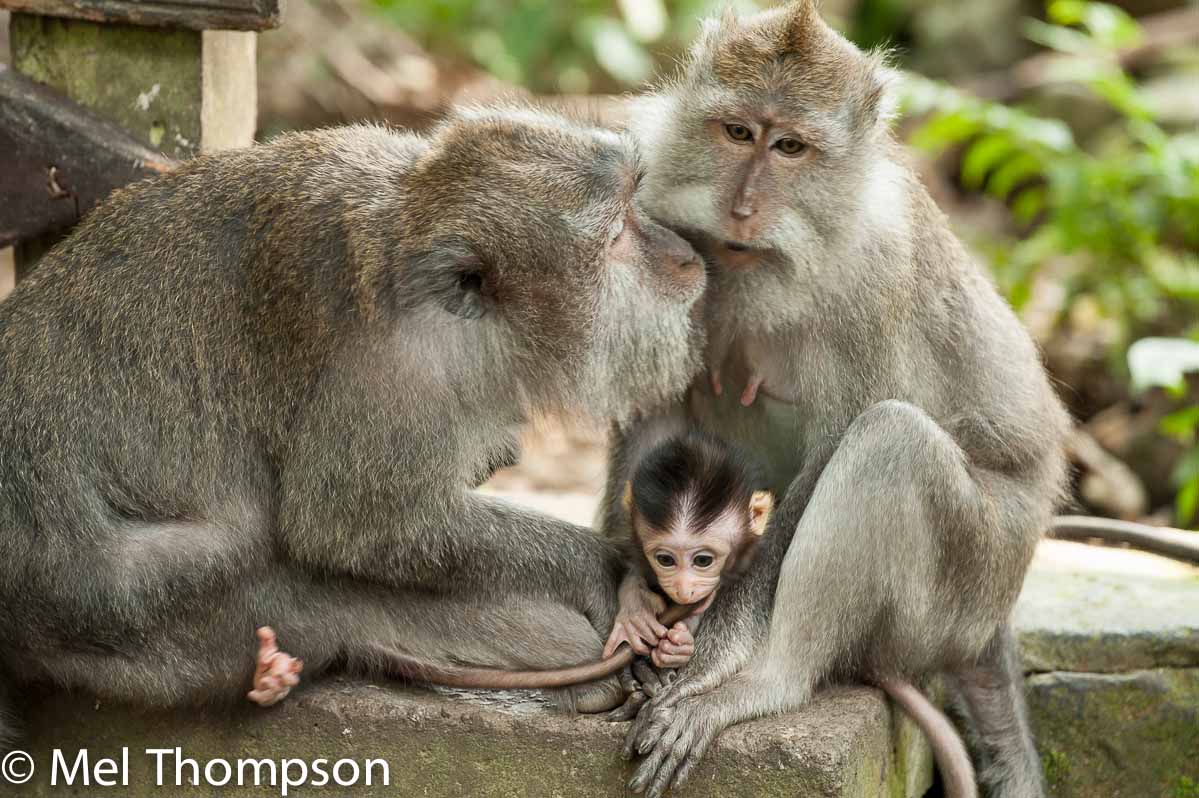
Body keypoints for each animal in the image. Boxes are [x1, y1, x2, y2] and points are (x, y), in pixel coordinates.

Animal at [0, 105, 709, 747]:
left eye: (634, 198)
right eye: (616, 235)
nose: (684, 255)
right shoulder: (390, 370)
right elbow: (355, 526)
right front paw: (604, 572)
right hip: (131, 609)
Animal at [597, 4, 1074, 796]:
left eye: (790, 146)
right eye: (738, 132)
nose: (742, 207)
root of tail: (991, 621)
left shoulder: (875, 268)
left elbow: (838, 441)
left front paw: (711, 654)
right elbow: (657, 410)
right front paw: (638, 594)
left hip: (964, 585)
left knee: (891, 442)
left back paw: (767, 684)